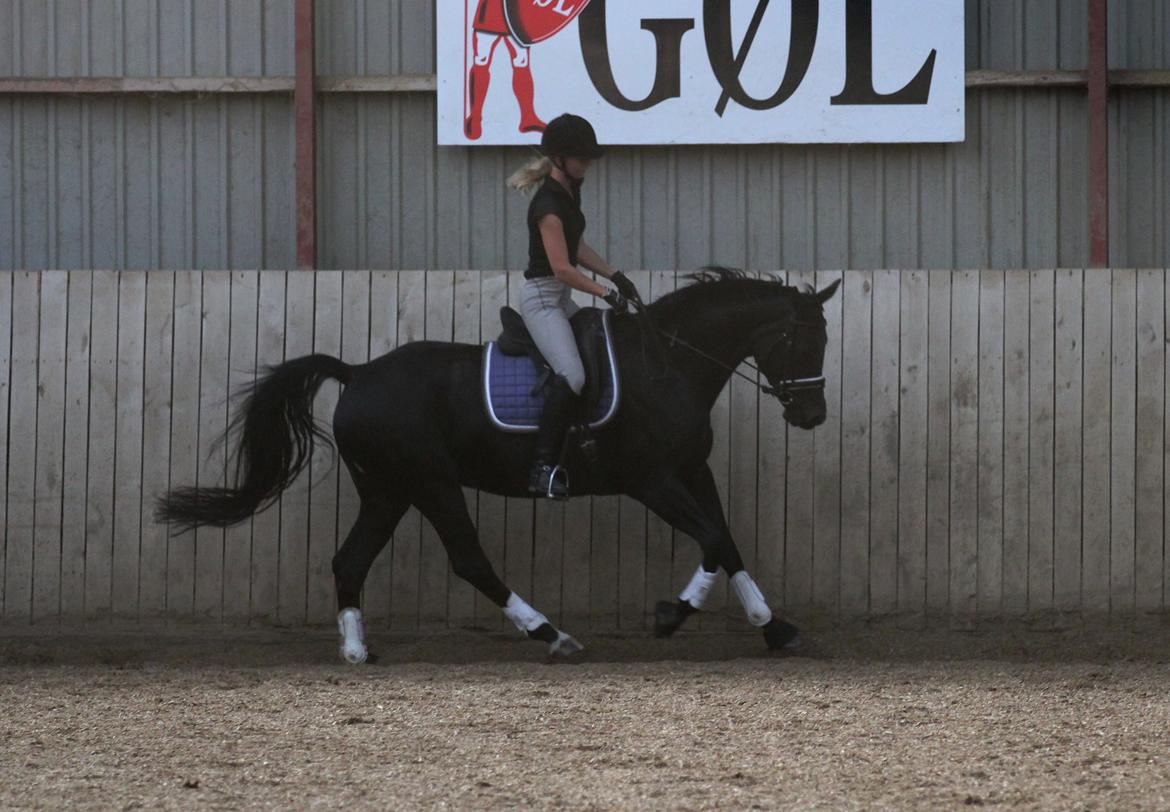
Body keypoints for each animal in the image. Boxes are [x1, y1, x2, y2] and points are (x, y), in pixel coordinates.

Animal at [160, 270, 842, 664]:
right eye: (800, 341)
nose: (812, 415)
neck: (669, 362)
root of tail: (358, 373)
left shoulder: (693, 471)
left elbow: (724, 539)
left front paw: (772, 626)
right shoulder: (652, 481)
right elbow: (712, 538)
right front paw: (675, 615)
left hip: (389, 489)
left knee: (350, 560)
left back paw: (356, 650)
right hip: (431, 483)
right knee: (469, 560)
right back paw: (550, 634)